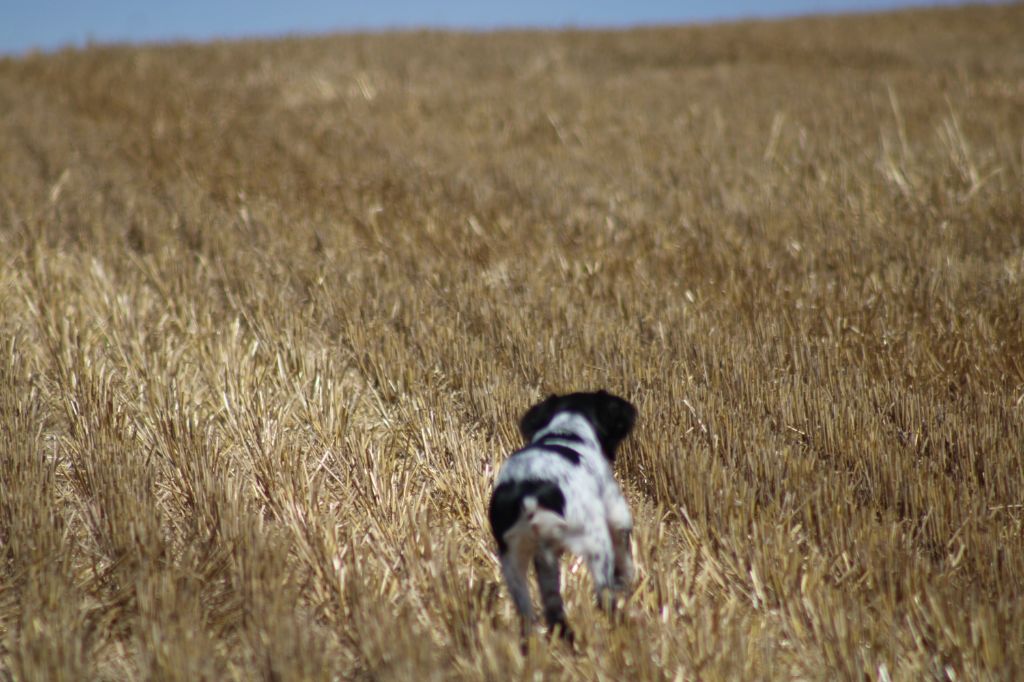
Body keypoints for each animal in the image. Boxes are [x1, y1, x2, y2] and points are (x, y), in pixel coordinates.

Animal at [485, 391, 634, 638]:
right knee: (603, 595)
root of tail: (530, 496)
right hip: (595, 543)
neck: (567, 430)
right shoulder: (616, 514)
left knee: (534, 613)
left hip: (515, 562)